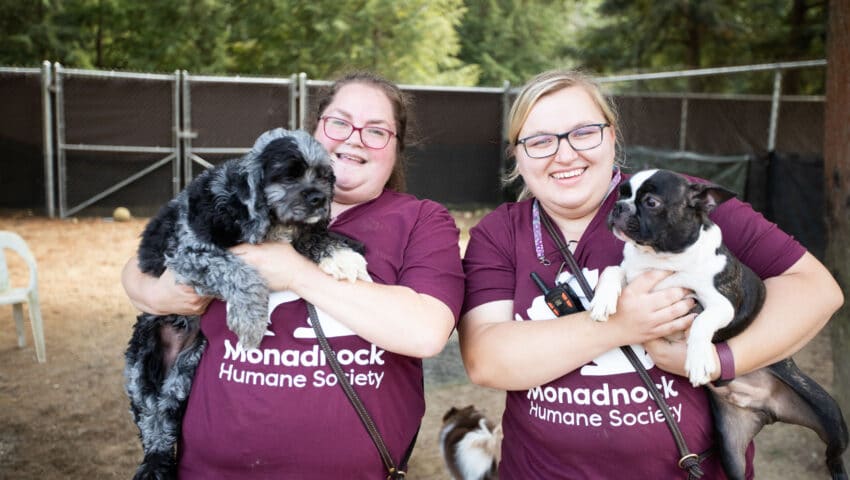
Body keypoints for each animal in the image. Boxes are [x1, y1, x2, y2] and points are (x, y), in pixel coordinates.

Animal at [121, 128, 368, 480]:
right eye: (288, 174)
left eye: (324, 176)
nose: (319, 199)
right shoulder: (188, 253)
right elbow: (237, 270)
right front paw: (251, 320)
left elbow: (308, 238)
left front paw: (341, 253)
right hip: (140, 371)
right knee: (151, 421)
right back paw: (153, 465)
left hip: (183, 372)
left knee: (166, 414)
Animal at [588, 170, 848, 480]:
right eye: (621, 194)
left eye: (651, 202)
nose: (619, 207)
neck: (661, 258)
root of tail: (766, 407)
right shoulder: (632, 276)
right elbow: (611, 271)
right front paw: (602, 300)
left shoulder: (721, 304)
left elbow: (701, 320)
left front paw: (698, 360)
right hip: (729, 448)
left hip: (830, 414)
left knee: (834, 453)